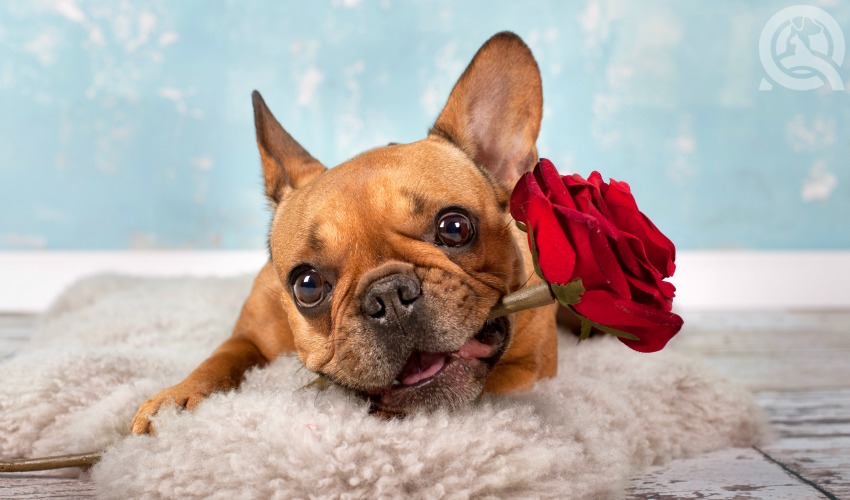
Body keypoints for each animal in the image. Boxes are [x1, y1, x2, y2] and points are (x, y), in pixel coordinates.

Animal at [129, 33, 560, 436]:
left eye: (455, 228)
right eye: (306, 285)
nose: (389, 295)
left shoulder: (532, 368)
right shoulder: (251, 336)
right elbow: (221, 356)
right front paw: (177, 398)